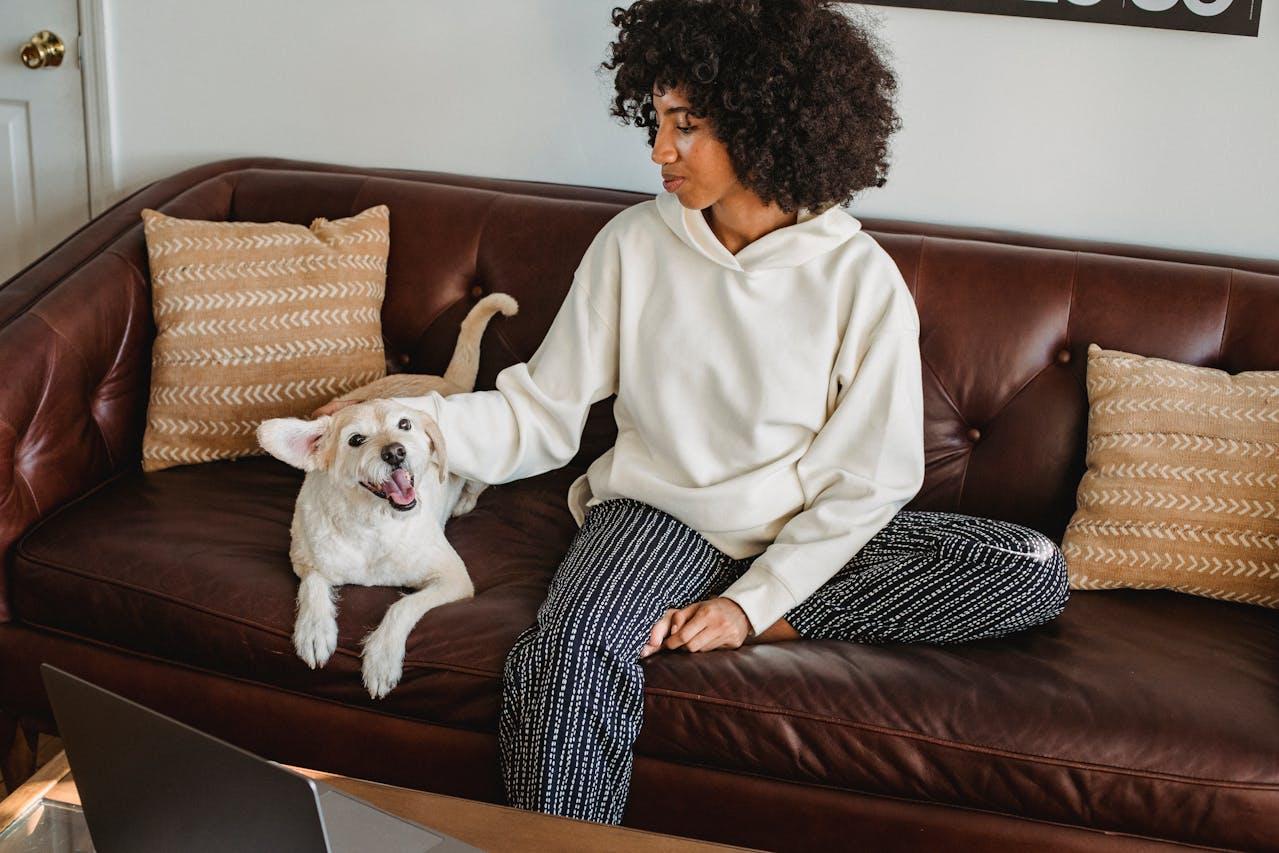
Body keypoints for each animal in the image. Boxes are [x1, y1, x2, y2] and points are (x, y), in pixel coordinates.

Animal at [257, 290, 516, 695]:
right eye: (355, 440)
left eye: (404, 424)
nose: (395, 452)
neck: (372, 527)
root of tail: (446, 382)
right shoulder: (304, 559)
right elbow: (313, 584)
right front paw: (314, 629)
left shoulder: (453, 578)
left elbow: (402, 606)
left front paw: (381, 657)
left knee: (479, 483)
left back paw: (465, 499)